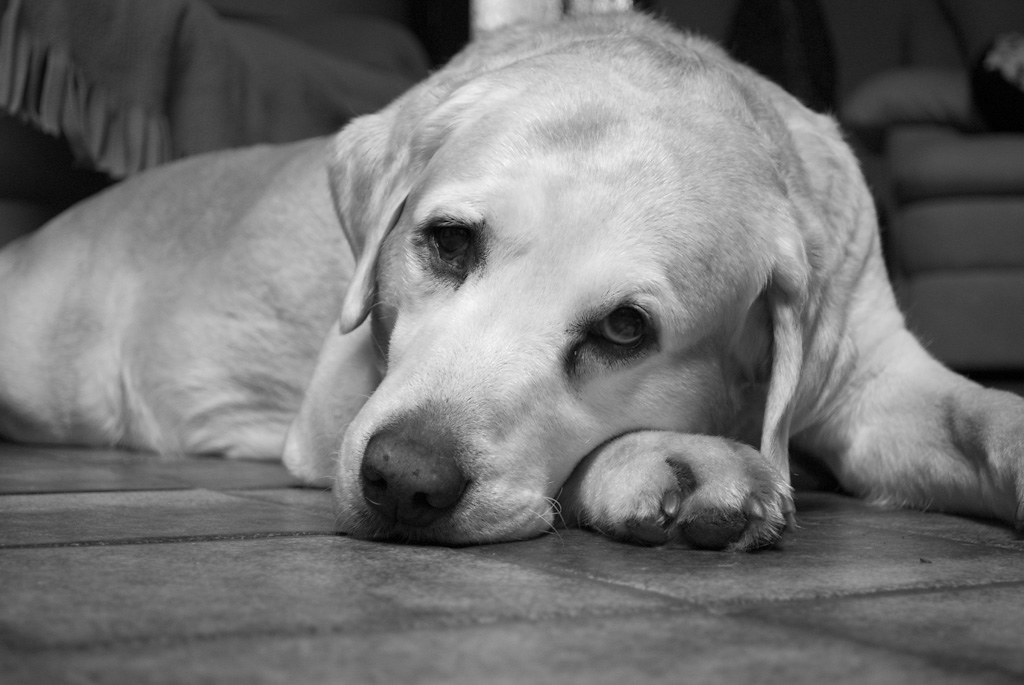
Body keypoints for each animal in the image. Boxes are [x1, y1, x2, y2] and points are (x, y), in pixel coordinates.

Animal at [0, 12, 1019, 548]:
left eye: (624, 330)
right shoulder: (337, 406)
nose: (404, 482)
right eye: (448, 242)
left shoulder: (877, 375)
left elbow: (990, 417)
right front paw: (678, 461)